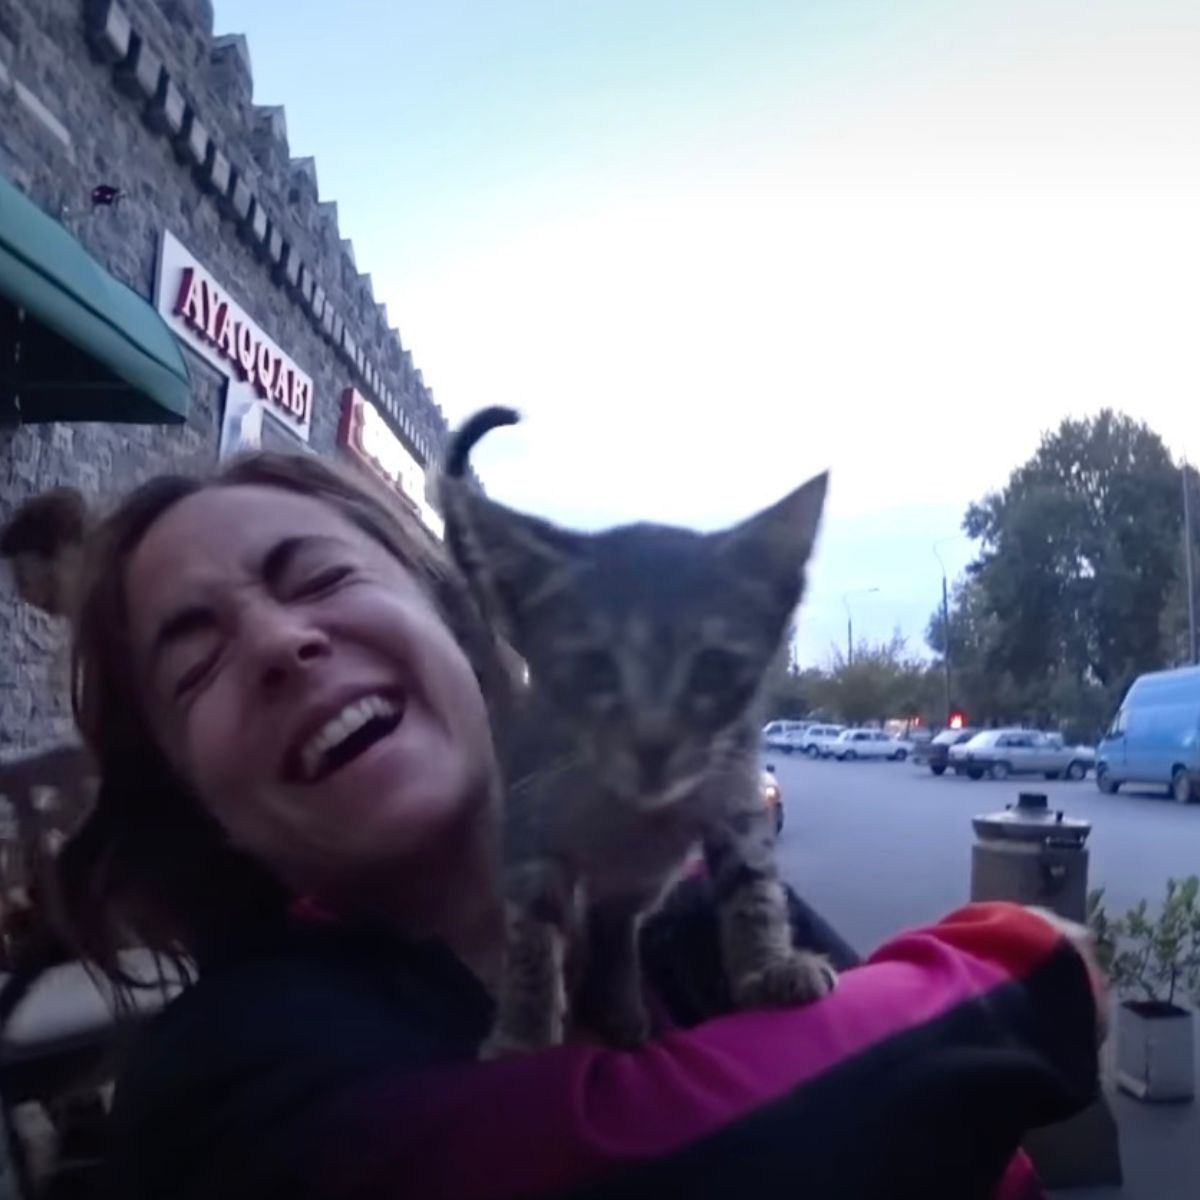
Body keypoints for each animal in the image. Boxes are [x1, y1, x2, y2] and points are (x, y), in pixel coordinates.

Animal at [441, 408, 835, 1056]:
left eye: (712, 667)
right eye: (596, 667)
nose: (654, 743)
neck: (627, 810)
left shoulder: (735, 789)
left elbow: (752, 883)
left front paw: (769, 967)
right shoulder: (528, 824)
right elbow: (531, 932)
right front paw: (523, 1032)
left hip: (650, 878)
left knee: (616, 920)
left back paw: (621, 1001)